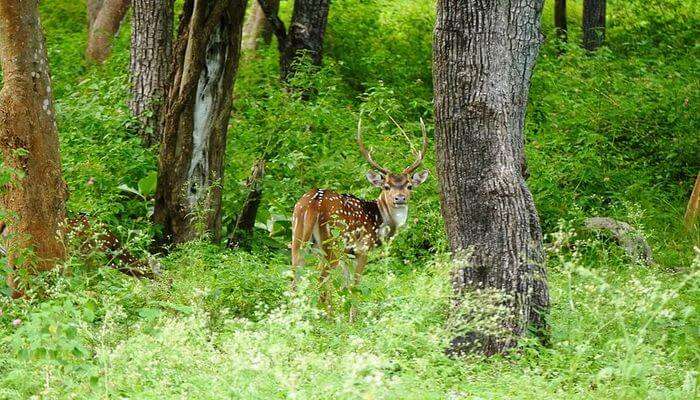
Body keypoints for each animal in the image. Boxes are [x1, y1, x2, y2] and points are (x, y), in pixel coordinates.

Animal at [288, 117, 430, 308]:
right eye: (386, 186)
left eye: (409, 186)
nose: (400, 198)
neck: (381, 222)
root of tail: (313, 203)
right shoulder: (363, 249)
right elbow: (355, 286)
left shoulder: (348, 255)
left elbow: (346, 286)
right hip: (332, 242)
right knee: (321, 282)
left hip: (298, 237)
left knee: (295, 279)